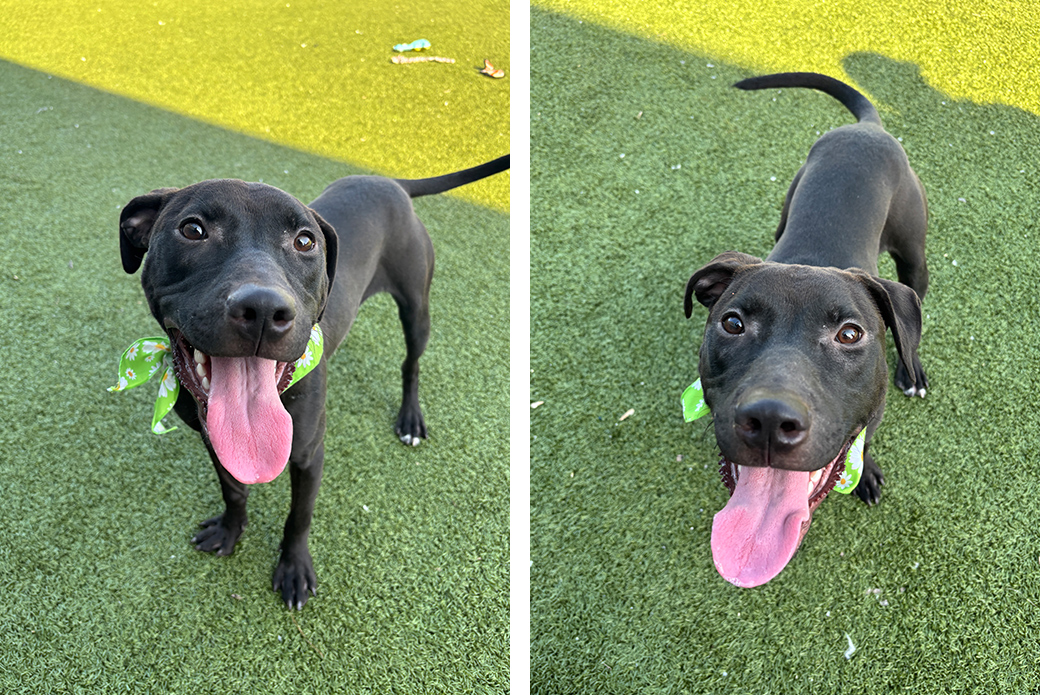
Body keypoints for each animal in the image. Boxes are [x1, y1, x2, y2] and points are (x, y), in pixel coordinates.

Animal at [118, 154, 509, 608]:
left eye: (305, 242)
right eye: (193, 230)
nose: (263, 309)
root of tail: (390, 183)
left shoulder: (309, 454)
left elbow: (299, 515)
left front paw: (293, 567)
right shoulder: (213, 441)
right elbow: (233, 490)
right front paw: (231, 529)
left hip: (416, 308)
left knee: (411, 364)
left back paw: (410, 418)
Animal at [683, 73, 927, 587]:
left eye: (850, 335)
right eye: (732, 323)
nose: (771, 420)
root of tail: (867, 129)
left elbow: (864, 440)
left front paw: (865, 471)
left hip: (915, 258)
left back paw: (913, 371)